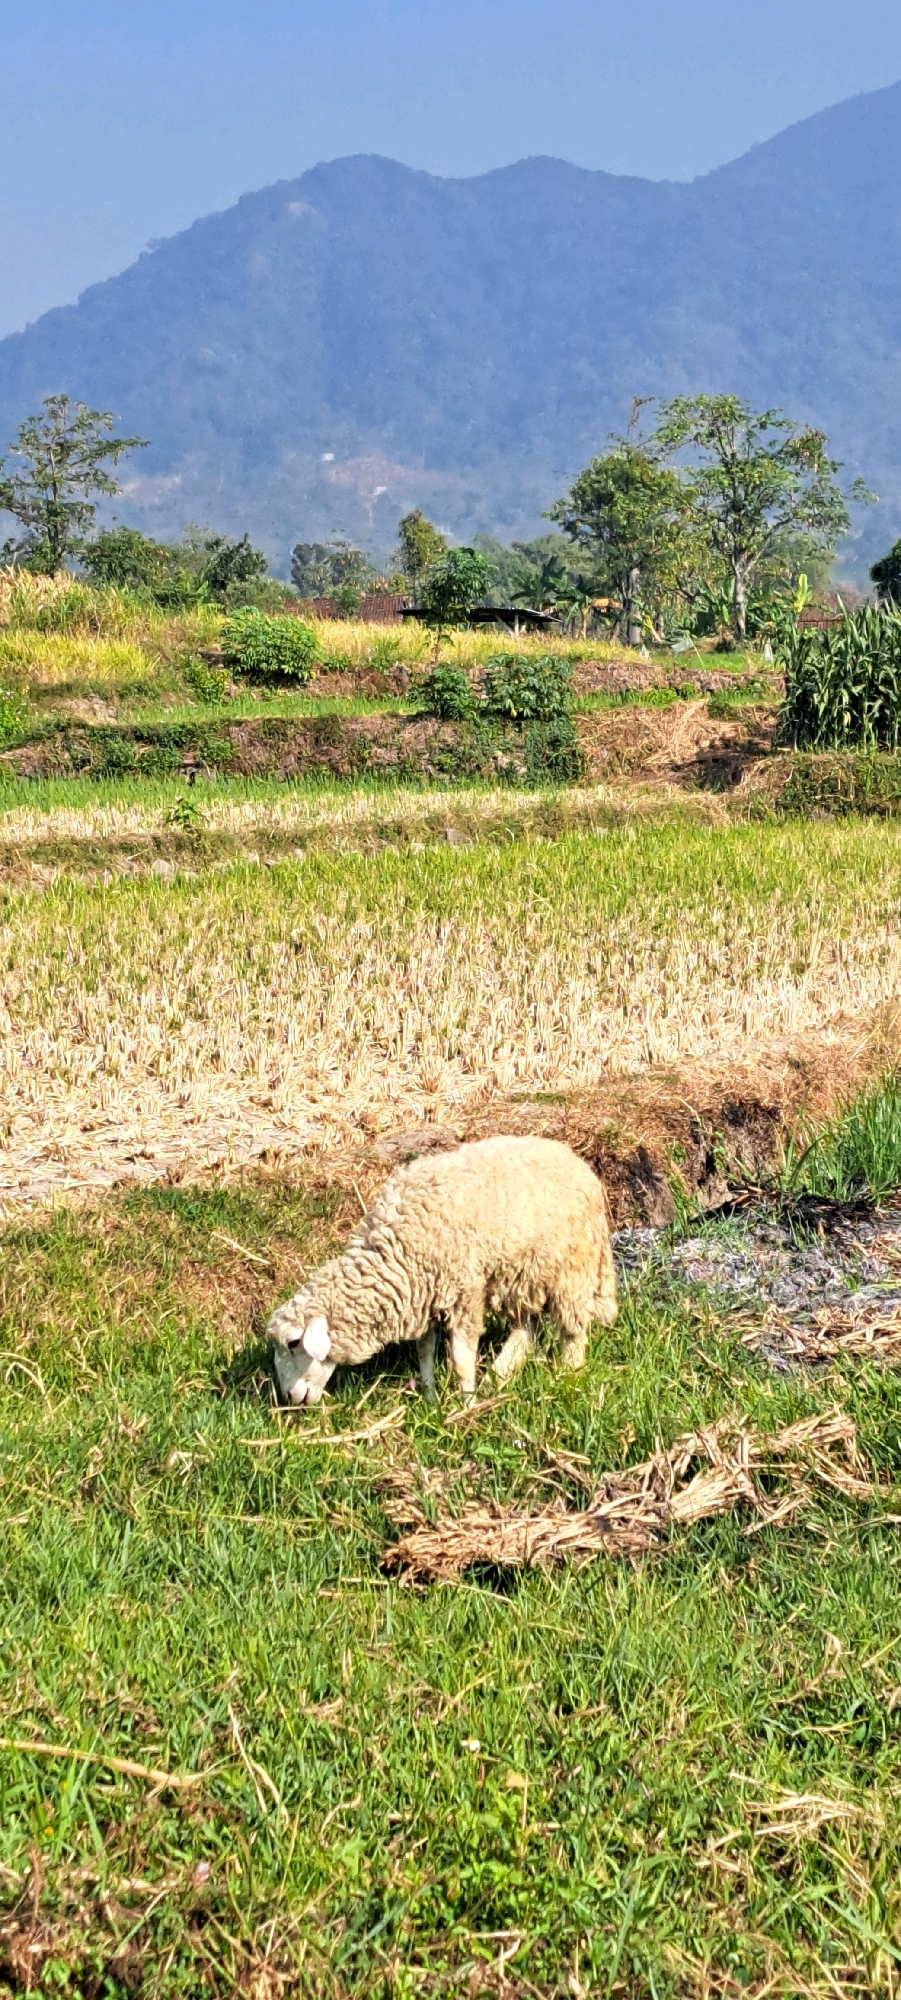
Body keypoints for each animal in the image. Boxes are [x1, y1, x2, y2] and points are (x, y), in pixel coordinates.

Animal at [268, 1134, 616, 1405]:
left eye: (293, 1343)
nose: (289, 1398)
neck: (393, 1253)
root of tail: (578, 1162)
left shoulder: (464, 1290)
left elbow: (461, 1358)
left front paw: (466, 1405)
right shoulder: (424, 1296)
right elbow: (425, 1352)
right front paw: (431, 1397)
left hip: (571, 1269)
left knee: (573, 1331)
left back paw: (568, 1376)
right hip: (522, 1273)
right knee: (525, 1330)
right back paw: (498, 1377)